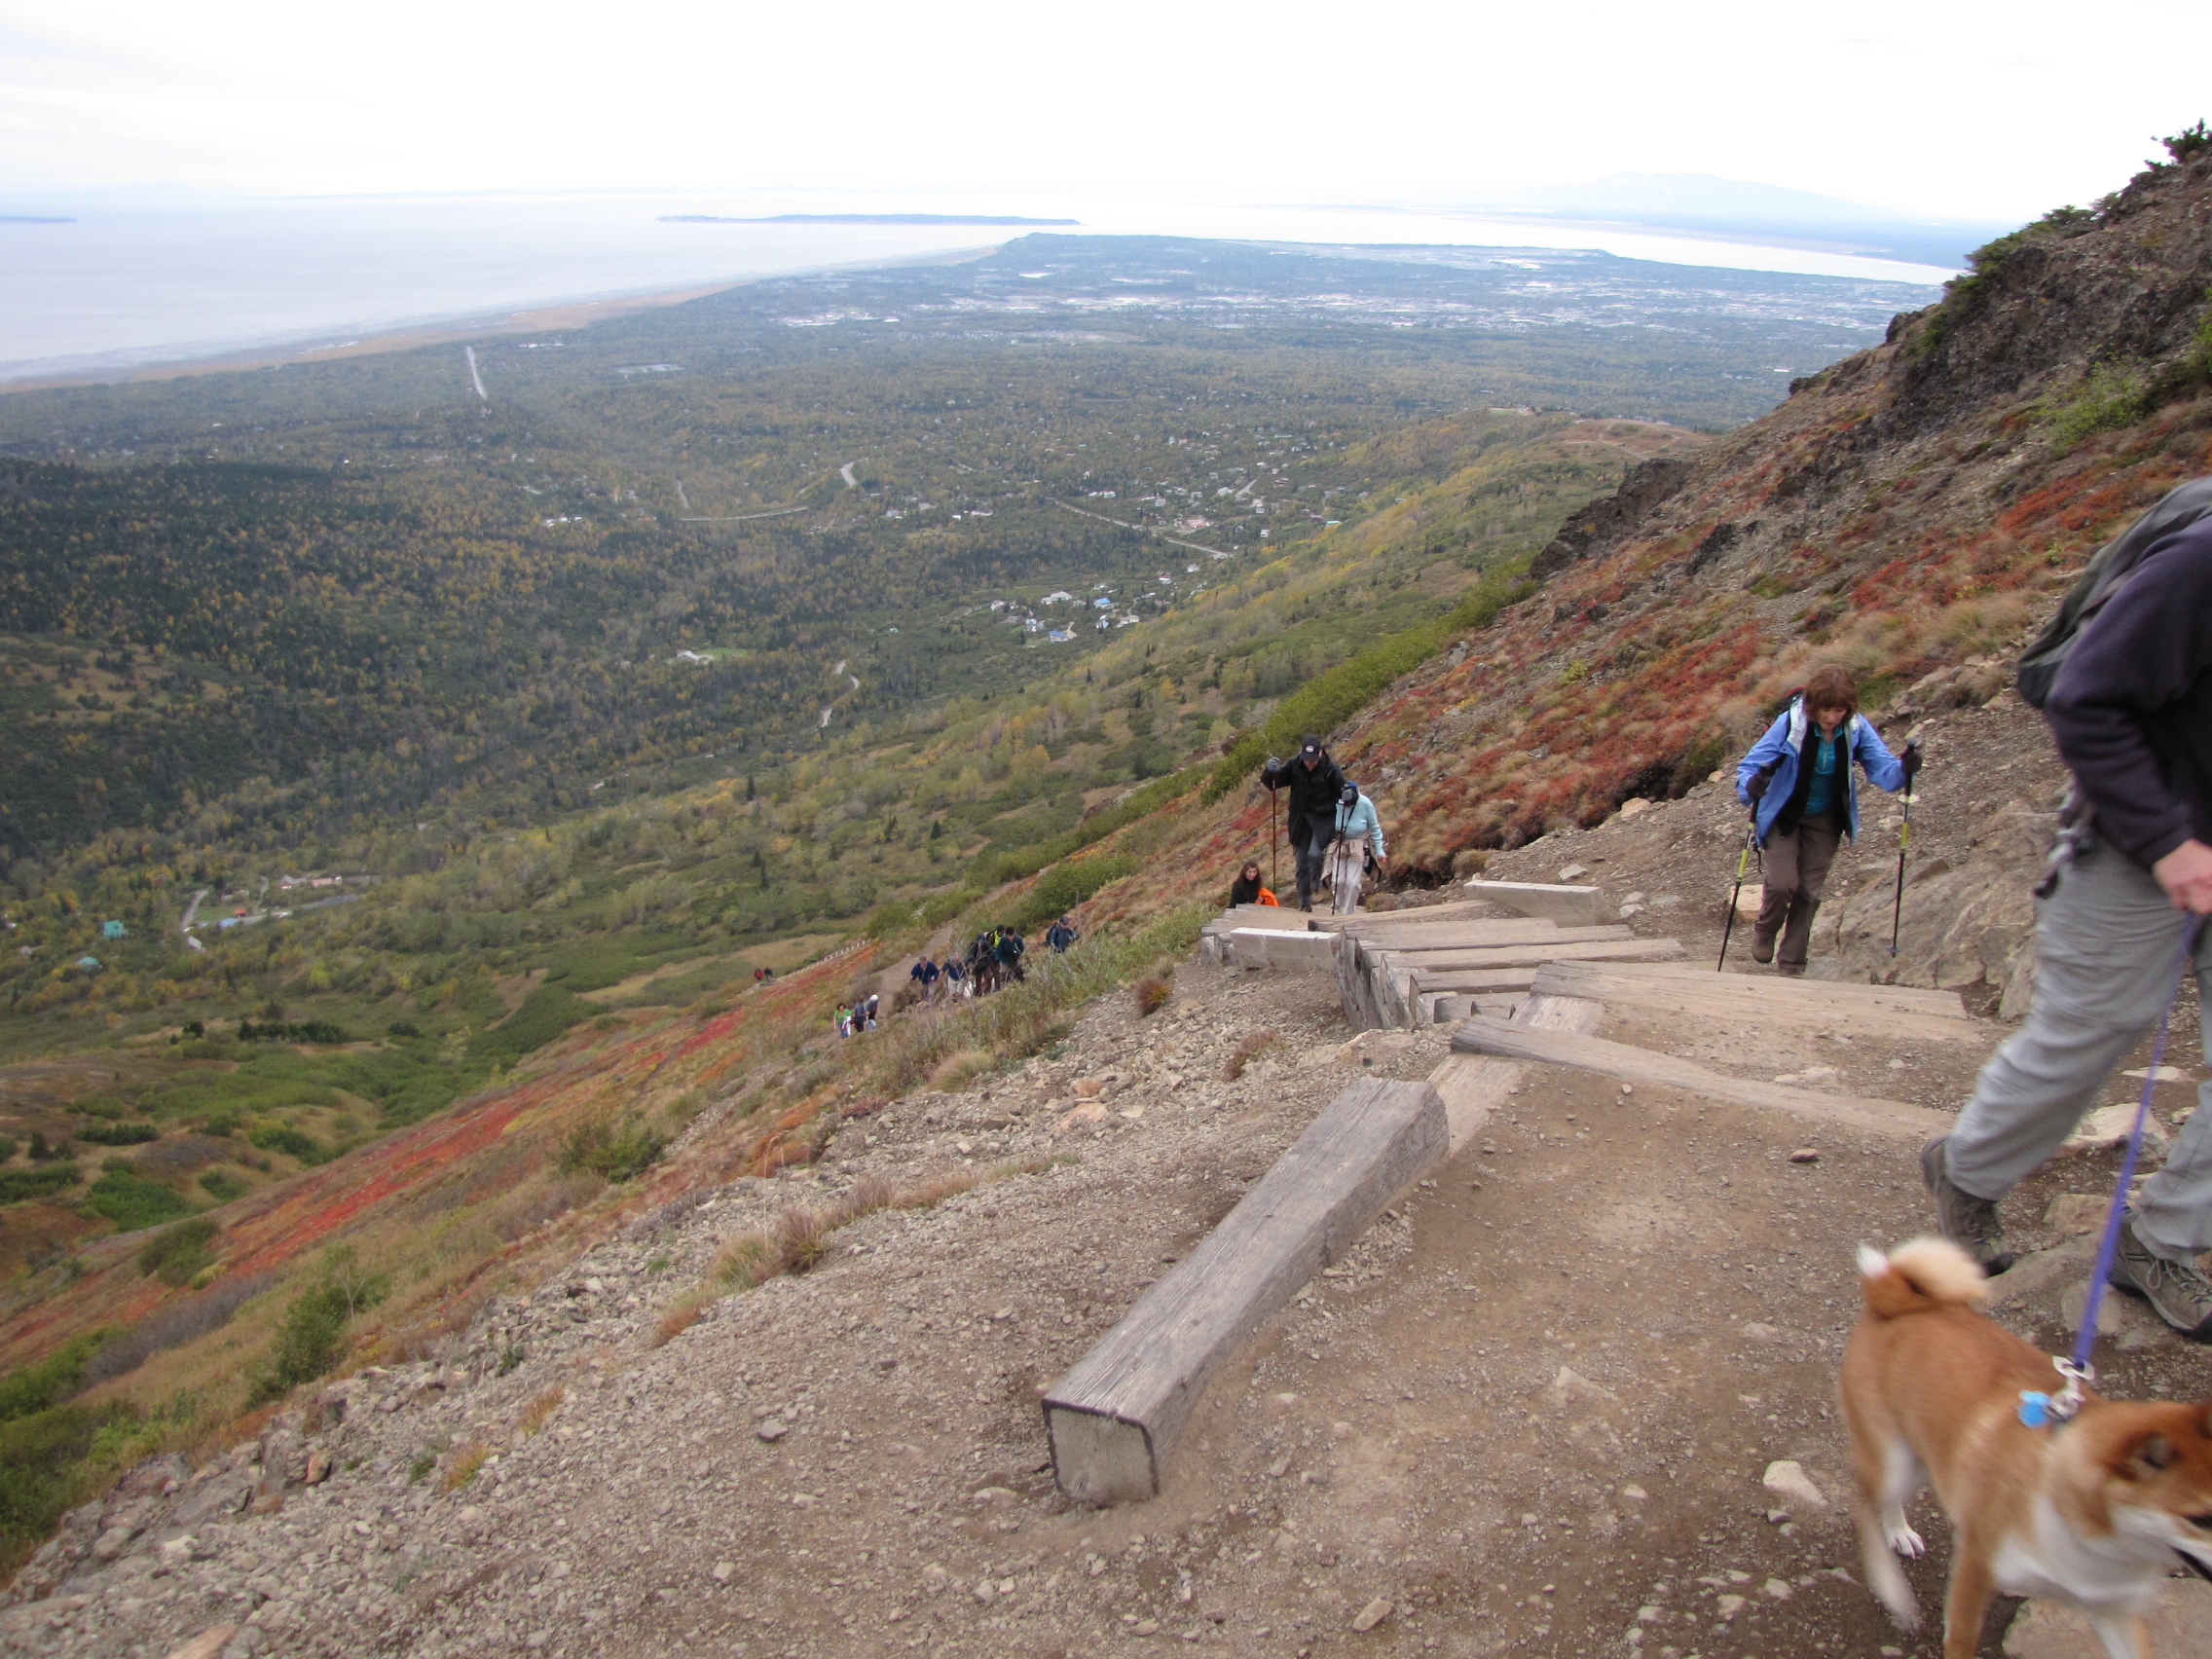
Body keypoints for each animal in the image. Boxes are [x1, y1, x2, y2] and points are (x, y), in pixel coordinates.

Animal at [1840, 1237, 2212, 1659]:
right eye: (2201, 1518)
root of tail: (1892, 1297)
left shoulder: (2116, 1610)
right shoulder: (1974, 1570)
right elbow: (1962, 1639)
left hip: (1924, 1457)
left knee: (1887, 1500)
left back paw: (1900, 1532)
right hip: (1893, 1459)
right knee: (1864, 1502)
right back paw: (1894, 1591)